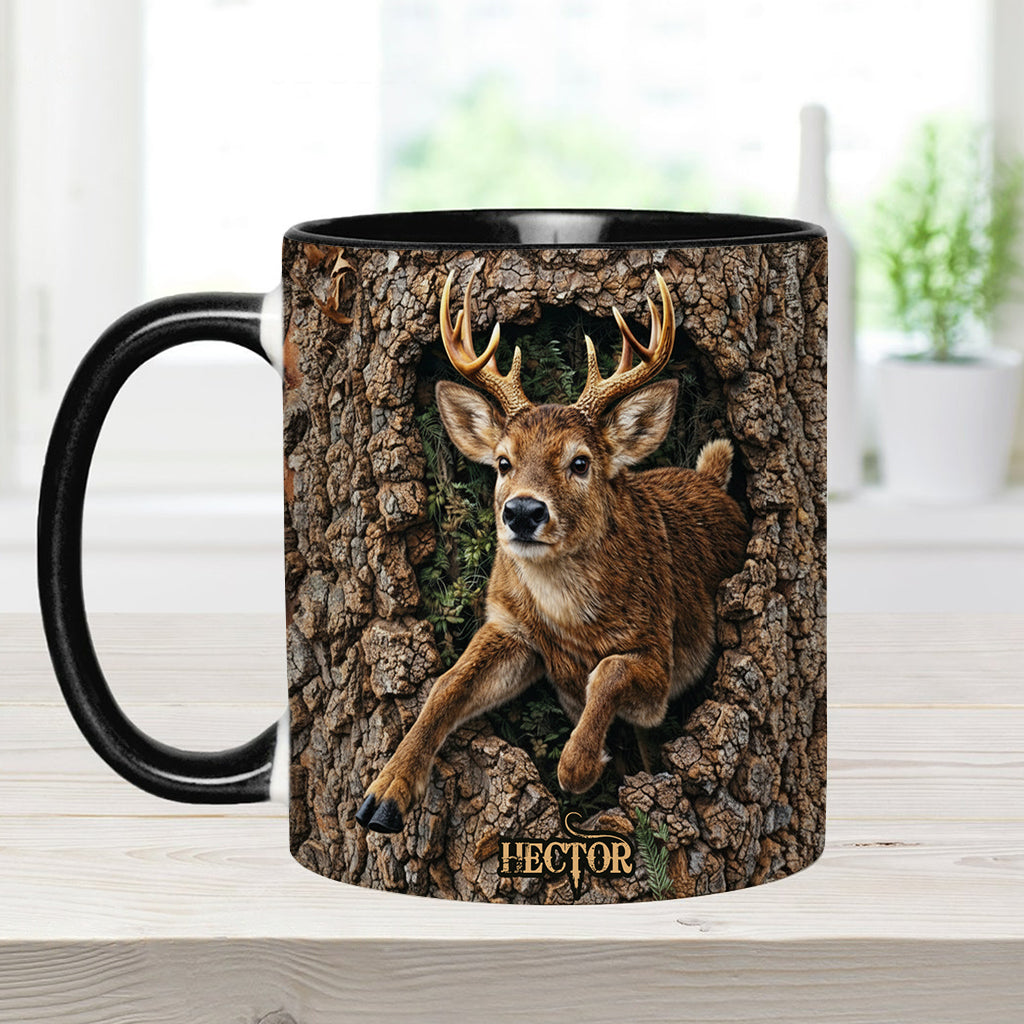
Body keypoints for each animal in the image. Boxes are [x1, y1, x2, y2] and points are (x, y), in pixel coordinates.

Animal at [355, 268, 749, 834]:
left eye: (580, 462)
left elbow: (608, 672)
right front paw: (382, 795)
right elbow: (446, 686)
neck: (568, 621)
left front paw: (578, 766)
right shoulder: (509, 626)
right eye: (503, 462)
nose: (522, 511)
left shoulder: (660, 656)